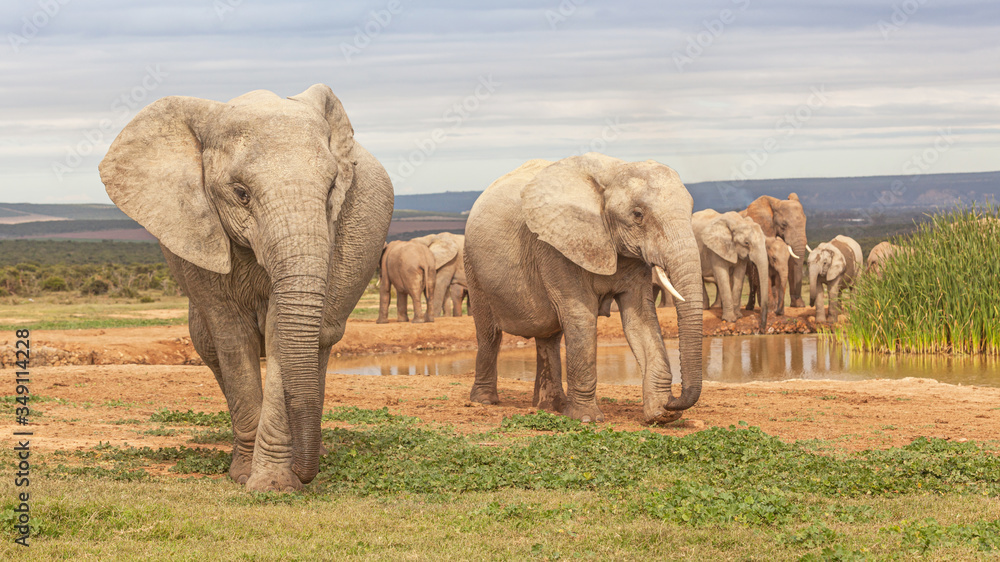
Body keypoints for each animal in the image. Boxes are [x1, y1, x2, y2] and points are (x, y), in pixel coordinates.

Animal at [99, 85, 394, 492]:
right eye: (241, 193)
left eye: (333, 189)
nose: (306, 473)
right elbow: (231, 338)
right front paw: (245, 476)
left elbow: (282, 332)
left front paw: (273, 484)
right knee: (209, 345)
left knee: (320, 342)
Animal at [464, 153, 702, 424]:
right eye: (638, 214)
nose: (675, 401)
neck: (613, 171)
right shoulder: (556, 246)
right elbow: (580, 315)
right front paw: (587, 418)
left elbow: (641, 319)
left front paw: (661, 415)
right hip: (472, 265)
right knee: (489, 334)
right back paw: (484, 401)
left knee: (549, 337)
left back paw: (552, 406)